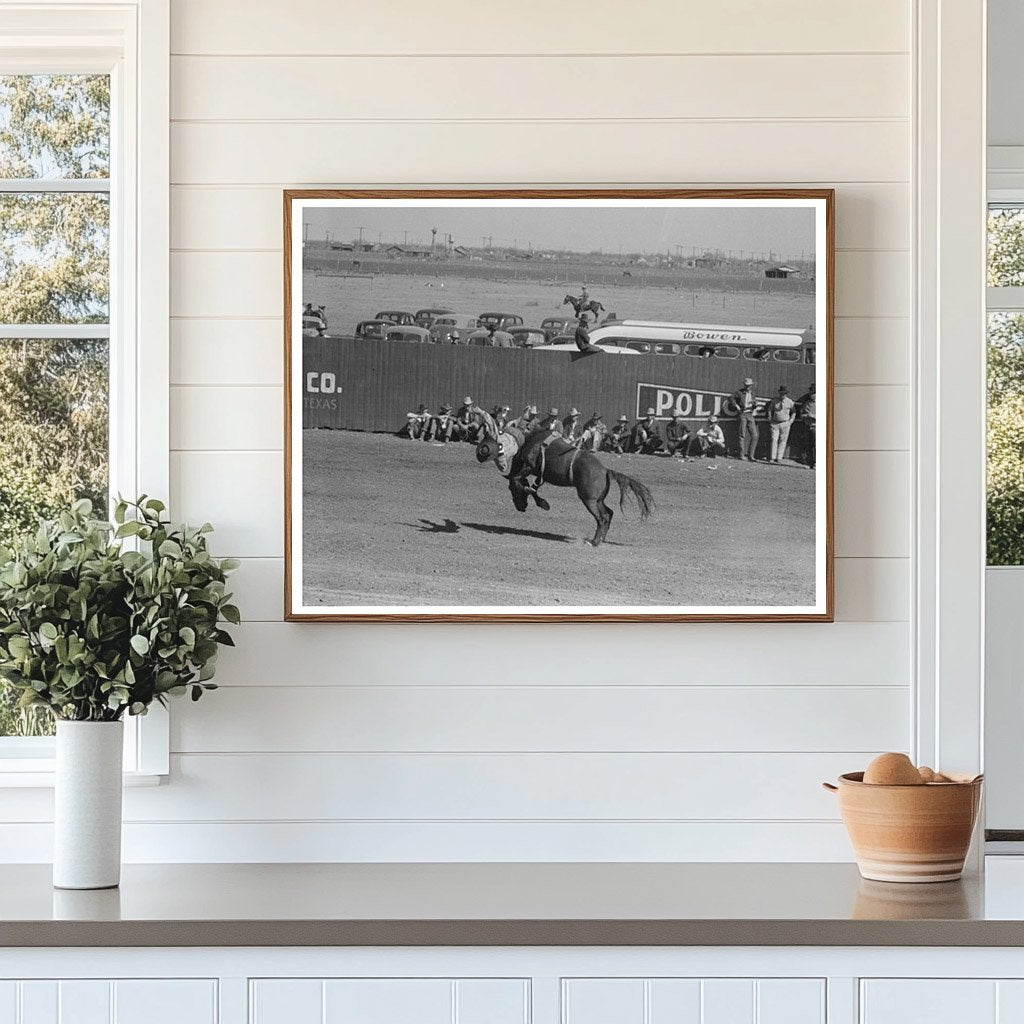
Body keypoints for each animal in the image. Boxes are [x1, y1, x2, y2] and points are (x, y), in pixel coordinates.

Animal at [475, 428, 651, 548]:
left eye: (511, 490)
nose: (520, 507)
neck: (531, 443)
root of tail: (606, 470)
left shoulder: (529, 466)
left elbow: (518, 480)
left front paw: (536, 498)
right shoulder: (539, 475)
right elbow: (533, 487)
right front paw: (542, 502)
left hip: (589, 500)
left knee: (602, 518)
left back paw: (593, 542)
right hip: (598, 500)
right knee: (609, 514)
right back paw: (601, 539)